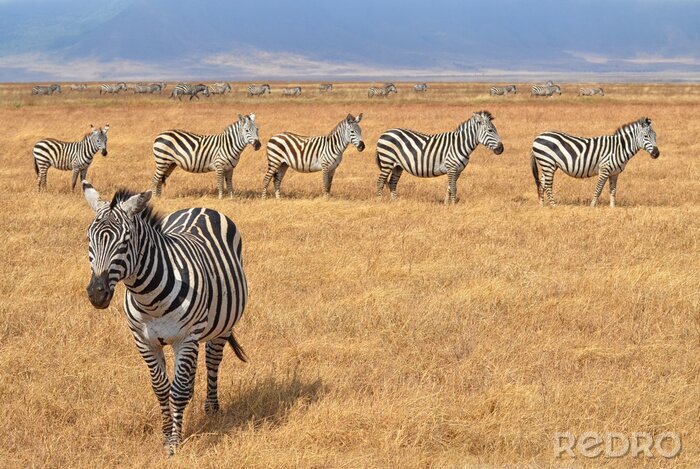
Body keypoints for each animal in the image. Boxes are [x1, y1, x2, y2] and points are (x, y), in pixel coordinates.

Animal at [82, 181, 247, 456]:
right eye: (89, 239)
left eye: (125, 242)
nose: (97, 293)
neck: (149, 300)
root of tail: (201, 207)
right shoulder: (143, 340)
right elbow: (161, 388)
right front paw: (166, 433)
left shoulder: (186, 338)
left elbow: (177, 390)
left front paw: (174, 443)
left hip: (221, 326)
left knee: (212, 361)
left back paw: (212, 408)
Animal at [375, 111, 504, 204]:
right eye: (490, 130)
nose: (501, 149)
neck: (459, 144)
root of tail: (385, 133)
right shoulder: (452, 167)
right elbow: (454, 188)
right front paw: (453, 205)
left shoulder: (458, 170)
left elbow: (450, 187)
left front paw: (447, 204)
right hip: (387, 161)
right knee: (380, 181)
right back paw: (380, 201)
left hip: (397, 166)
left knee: (392, 182)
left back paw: (395, 202)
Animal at [531, 117, 659, 207]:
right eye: (646, 136)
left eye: (655, 136)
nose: (656, 154)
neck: (618, 148)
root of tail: (538, 137)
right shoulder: (604, 169)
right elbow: (598, 189)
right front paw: (592, 206)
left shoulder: (614, 173)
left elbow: (613, 190)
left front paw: (612, 208)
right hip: (548, 163)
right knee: (547, 185)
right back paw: (554, 206)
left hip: (547, 165)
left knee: (542, 183)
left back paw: (542, 206)